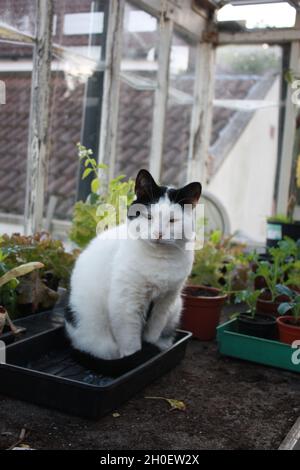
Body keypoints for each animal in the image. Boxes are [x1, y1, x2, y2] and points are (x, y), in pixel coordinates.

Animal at [66, 171, 202, 358]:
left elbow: (153, 332)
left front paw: (151, 346)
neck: (159, 259)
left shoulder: (165, 302)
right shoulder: (126, 303)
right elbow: (130, 342)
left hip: (177, 307)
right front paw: (135, 356)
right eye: (149, 216)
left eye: (173, 220)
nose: (158, 233)